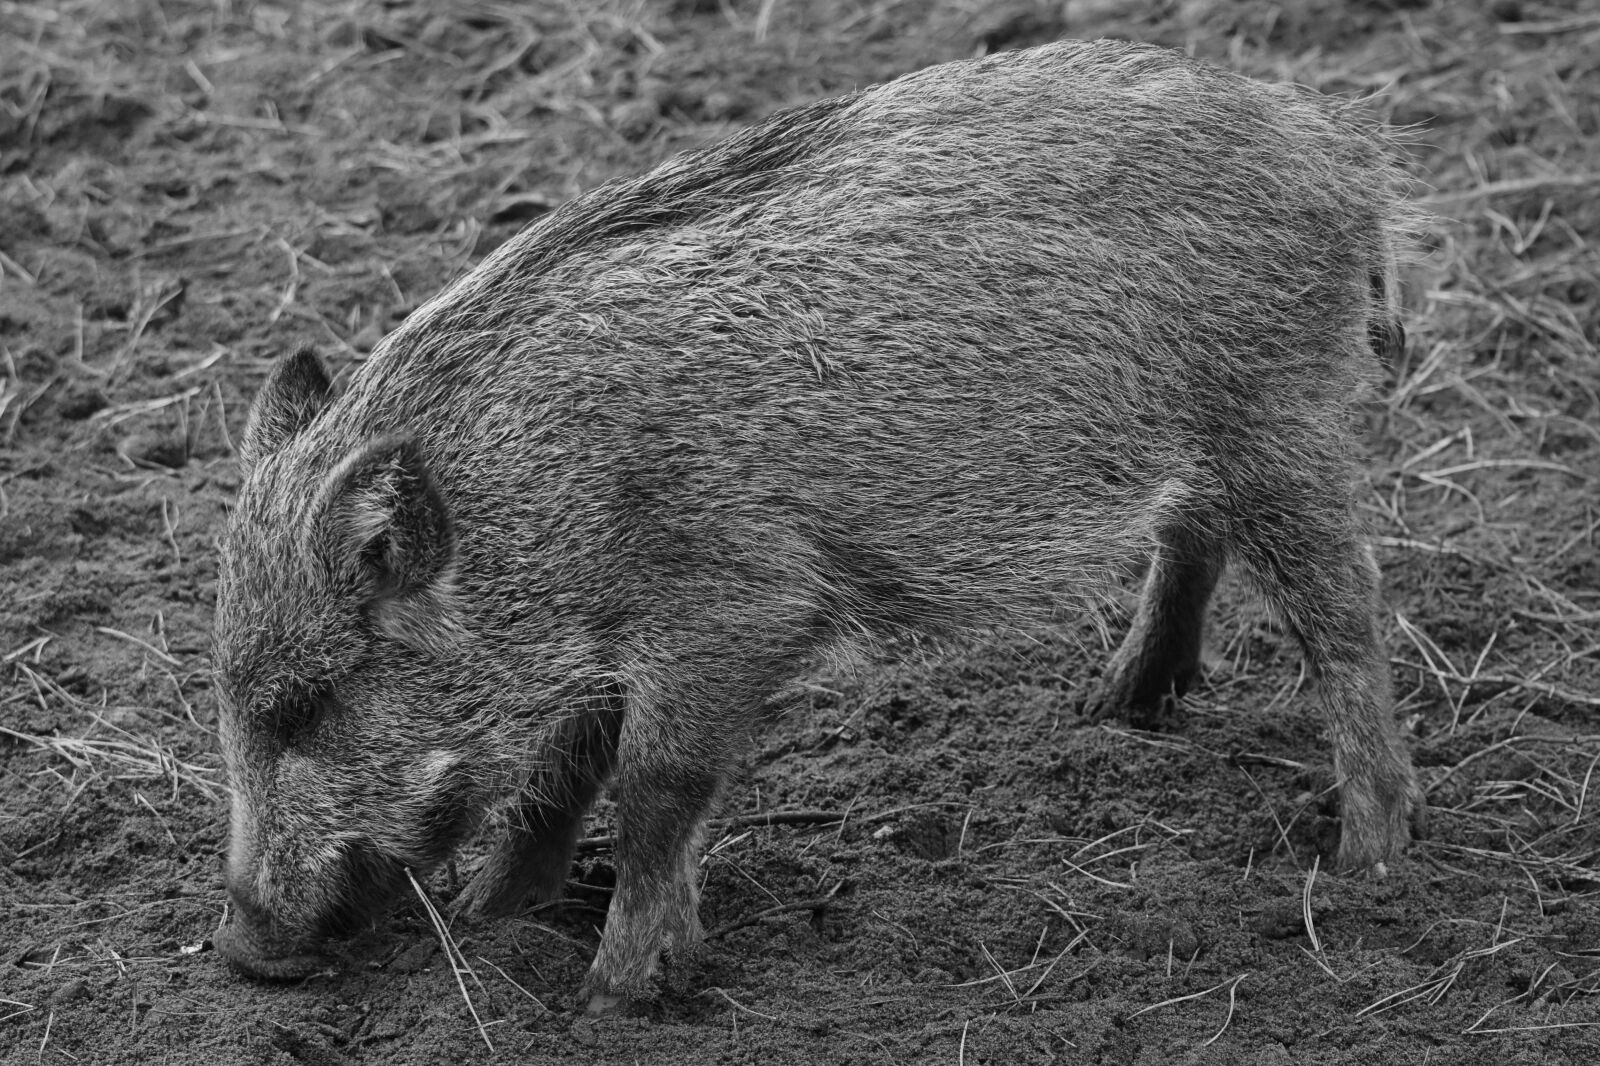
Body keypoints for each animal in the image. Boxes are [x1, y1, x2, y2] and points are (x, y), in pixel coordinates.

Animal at [210, 37, 1424, 1008]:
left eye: (312, 701)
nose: (242, 953)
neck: (539, 498)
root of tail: (1340, 142)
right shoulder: (604, 646)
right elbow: (561, 763)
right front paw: (492, 915)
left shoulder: (731, 611)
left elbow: (654, 786)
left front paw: (611, 997)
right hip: (1199, 439)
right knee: (1192, 535)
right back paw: (1117, 706)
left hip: (1281, 416)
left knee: (1347, 618)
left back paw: (1366, 864)